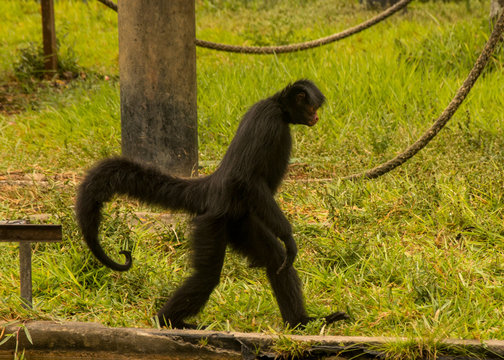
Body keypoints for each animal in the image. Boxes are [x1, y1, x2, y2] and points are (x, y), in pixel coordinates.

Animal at [77, 79, 348, 330]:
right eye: (313, 107)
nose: (316, 116)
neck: (278, 107)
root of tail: (210, 187)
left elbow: (279, 259)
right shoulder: (269, 122)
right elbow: (248, 179)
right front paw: (289, 237)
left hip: (241, 222)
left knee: (274, 259)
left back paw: (301, 323)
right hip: (212, 222)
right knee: (207, 276)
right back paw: (166, 321)